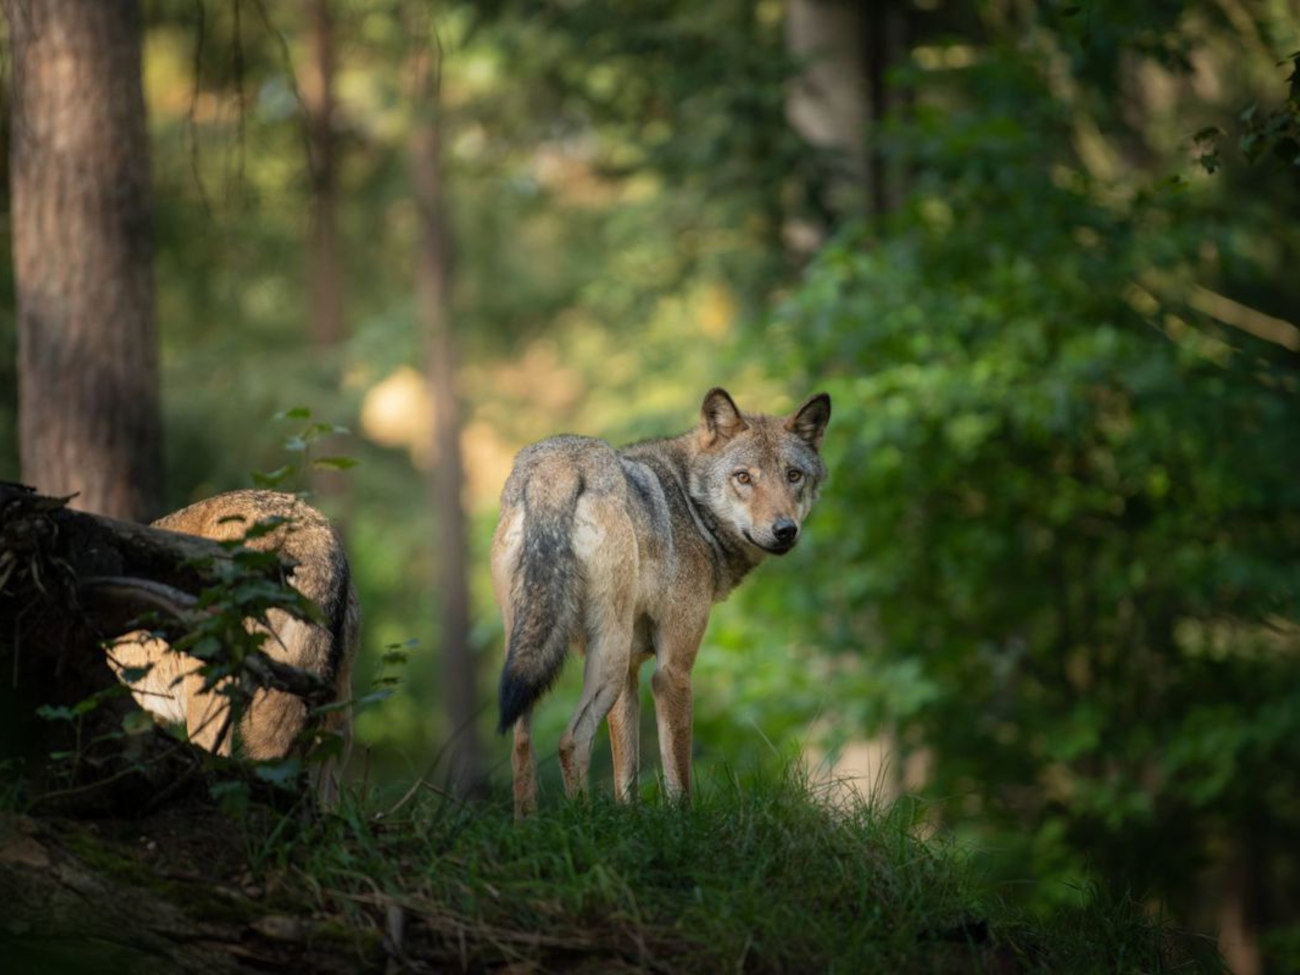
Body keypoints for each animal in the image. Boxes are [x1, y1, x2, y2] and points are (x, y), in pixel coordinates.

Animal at [488, 390, 832, 816]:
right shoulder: (671, 671)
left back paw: (528, 824)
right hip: (608, 655)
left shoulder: (632, 674)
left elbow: (627, 775)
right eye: (743, 477)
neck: (691, 504)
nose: (785, 530)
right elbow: (677, 774)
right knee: (571, 740)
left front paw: (628, 818)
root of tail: (558, 465)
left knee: (521, 744)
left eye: (793, 475)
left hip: (533, 654)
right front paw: (682, 823)